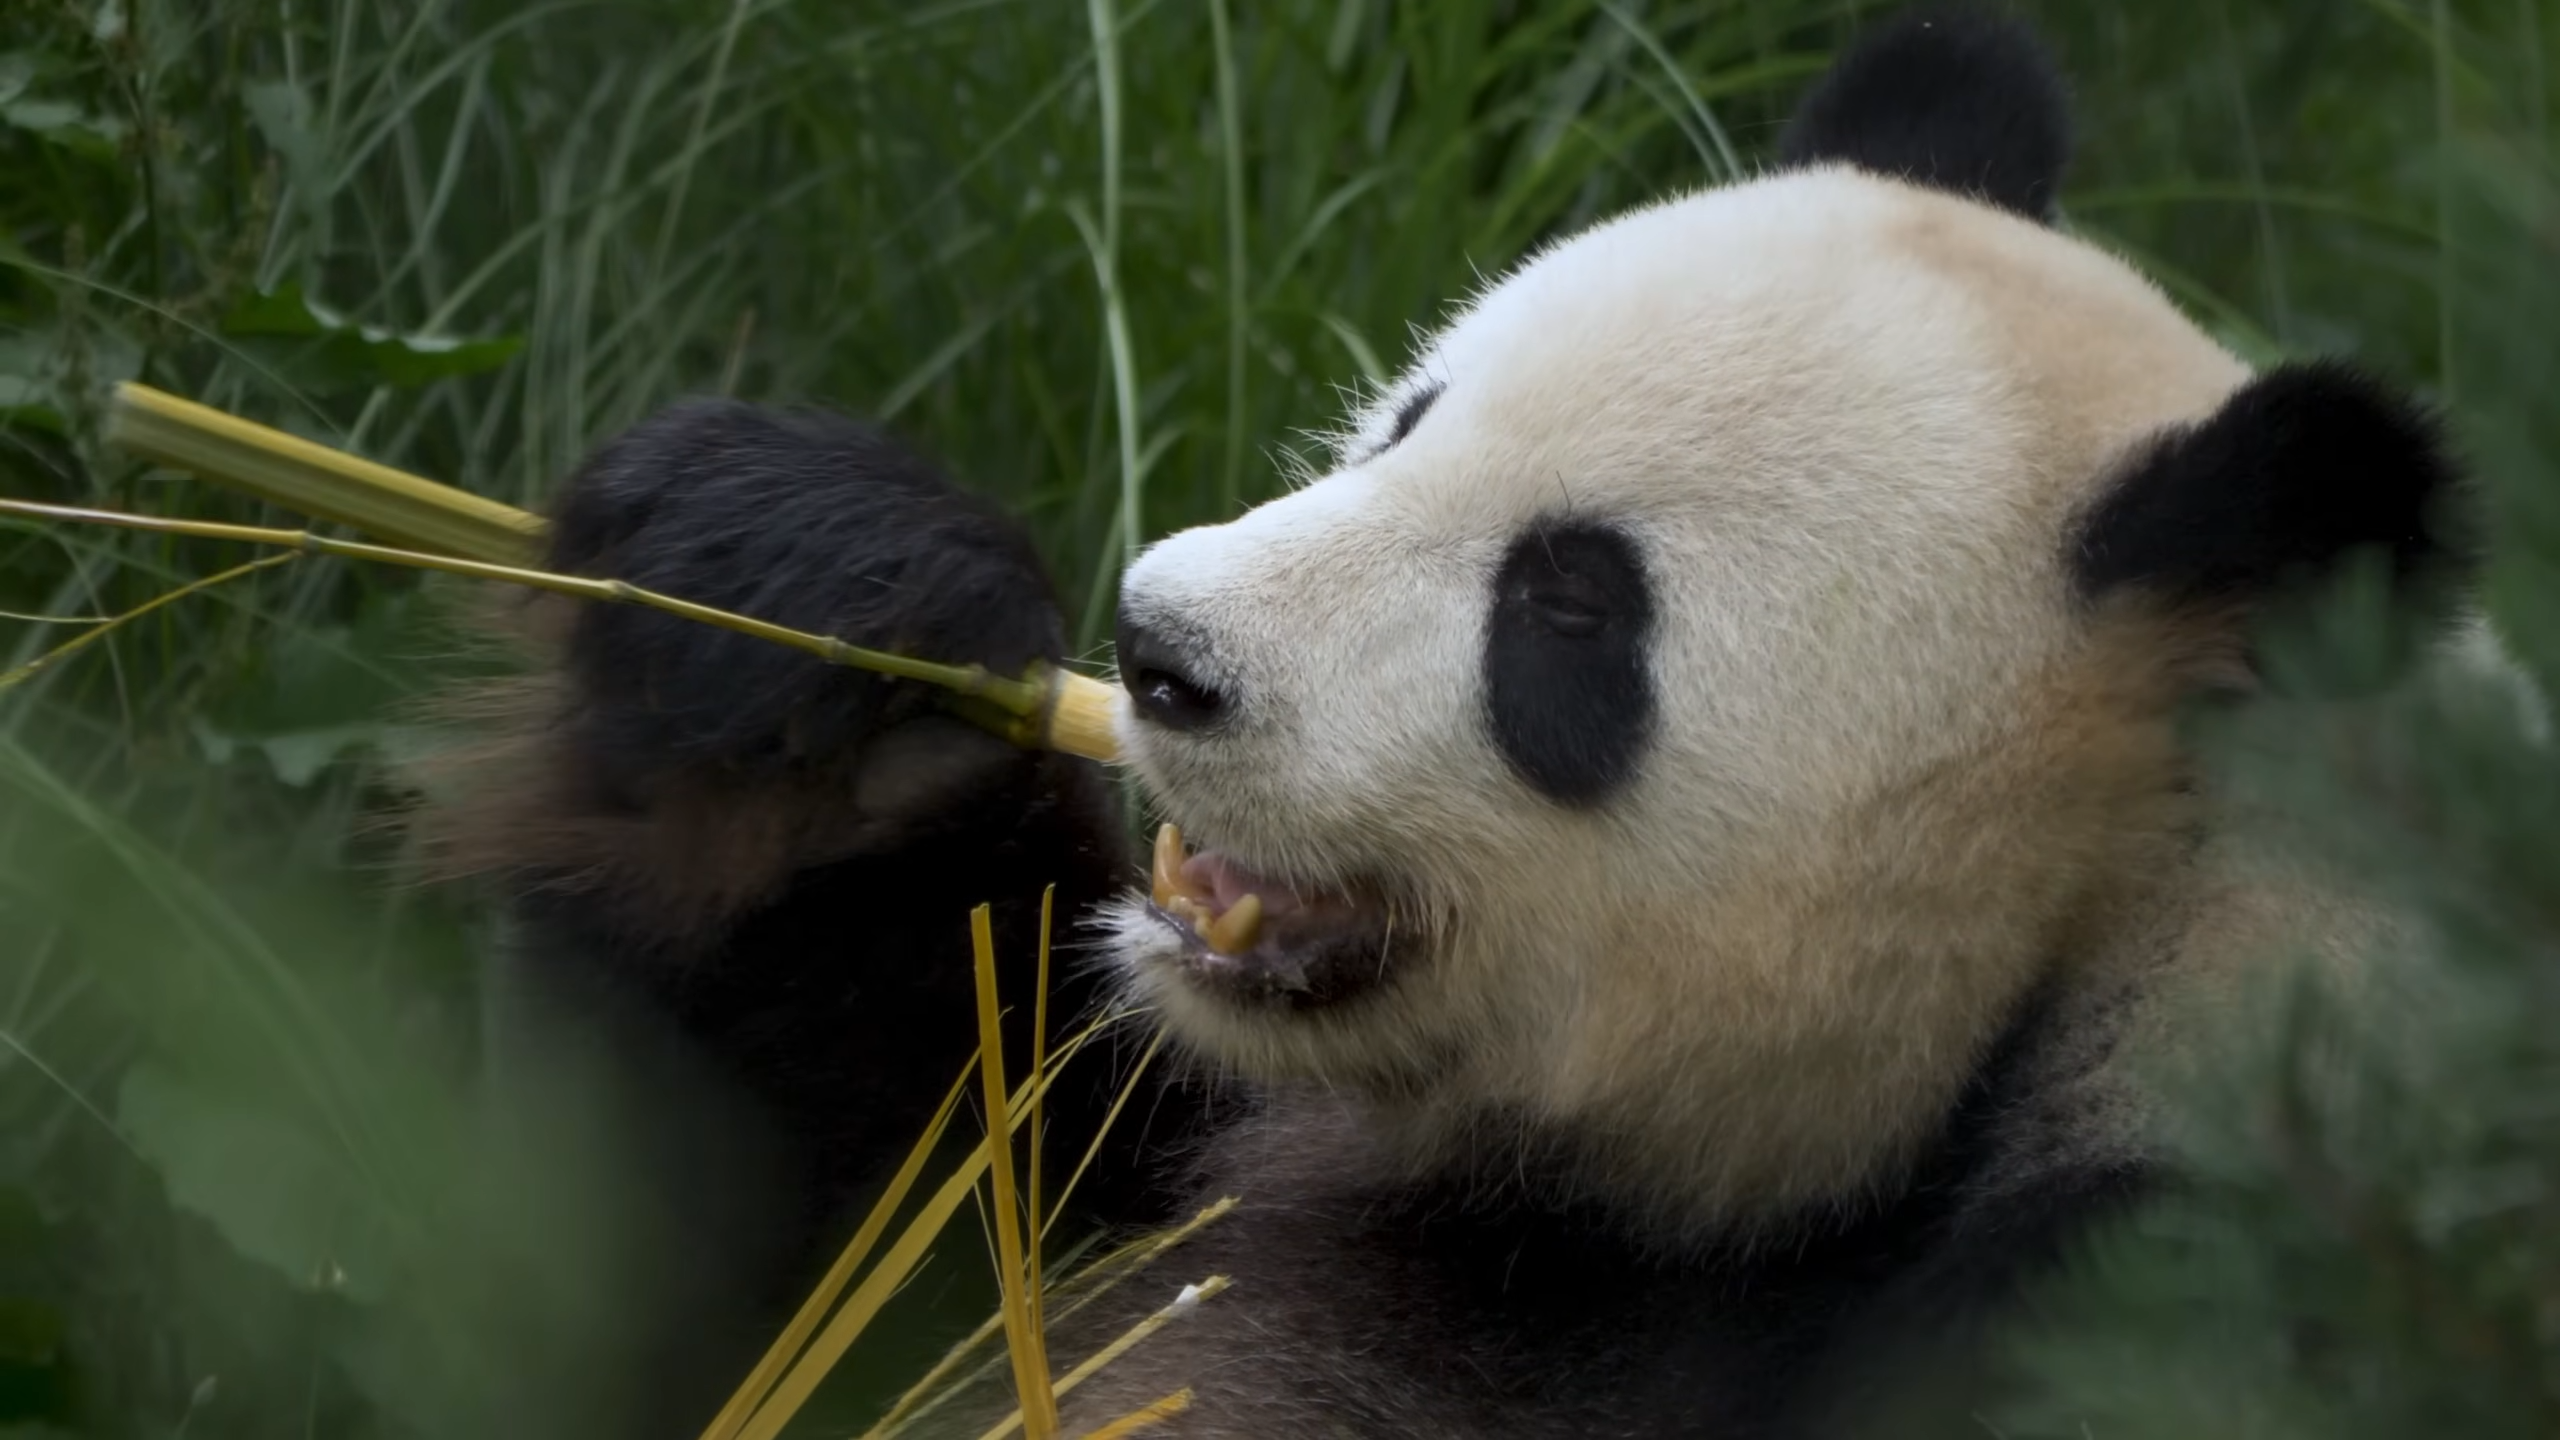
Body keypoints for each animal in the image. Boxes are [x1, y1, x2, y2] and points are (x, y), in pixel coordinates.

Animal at [419, 7, 2472, 1438]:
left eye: (1569, 611)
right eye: (1411, 417)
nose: (1162, 651)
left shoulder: (2157, 1280)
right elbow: (788, 1252)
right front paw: (798, 599)